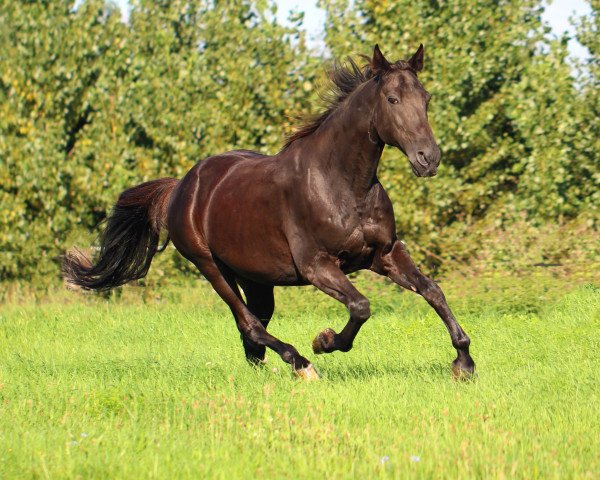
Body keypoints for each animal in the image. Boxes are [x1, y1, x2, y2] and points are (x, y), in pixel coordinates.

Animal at [63, 45, 476, 380]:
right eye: (392, 99)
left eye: (425, 98)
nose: (428, 158)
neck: (343, 184)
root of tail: (181, 186)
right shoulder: (317, 265)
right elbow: (360, 306)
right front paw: (324, 341)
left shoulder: (384, 253)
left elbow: (432, 290)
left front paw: (464, 363)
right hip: (211, 267)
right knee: (250, 324)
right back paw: (301, 364)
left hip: (256, 278)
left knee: (253, 328)